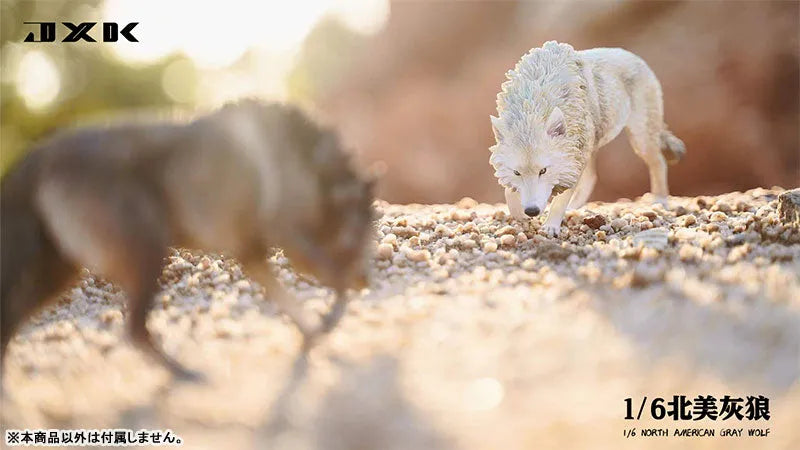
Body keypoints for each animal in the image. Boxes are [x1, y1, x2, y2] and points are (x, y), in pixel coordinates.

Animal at [1, 100, 375, 380]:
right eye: (357, 234)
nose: (366, 282)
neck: (311, 163)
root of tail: (39, 156)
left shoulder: (252, 255)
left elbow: (294, 305)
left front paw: (316, 336)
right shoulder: (292, 240)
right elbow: (336, 285)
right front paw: (331, 320)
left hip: (57, 277)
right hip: (147, 256)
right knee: (134, 330)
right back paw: (184, 375)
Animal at [489, 41, 685, 236]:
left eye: (543, 170)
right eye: (517, 172)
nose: (531, 211)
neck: (536, 102)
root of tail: (635, 57)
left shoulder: (571, 161)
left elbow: (560, 200)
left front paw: (550, 226)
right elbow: (509, 192)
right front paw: (519, 214)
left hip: (640, 138)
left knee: (659, 163)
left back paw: (660, 201)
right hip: (591, 148)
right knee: (591, 177)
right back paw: (573, 208)